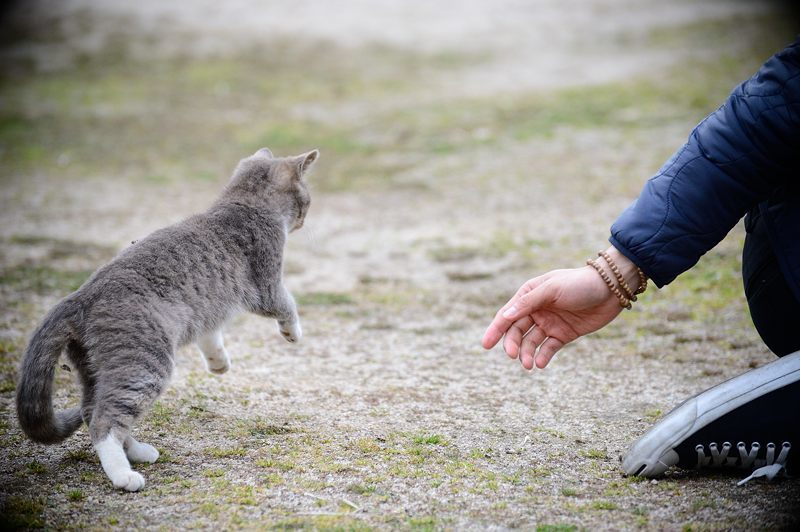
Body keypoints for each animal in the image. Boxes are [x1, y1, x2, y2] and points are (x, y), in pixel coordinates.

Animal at [15, 148, 316, 492]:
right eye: (306, 200)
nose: (305, 218)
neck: (242, 203)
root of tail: (79, 297)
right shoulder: (265, 282)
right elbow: (285, 304)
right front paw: (293, 331)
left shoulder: (206, 307)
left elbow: (210, 334)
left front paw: (219, 362)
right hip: (145, 363)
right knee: (105, 421)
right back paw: (123, 475)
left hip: (94, 367)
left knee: (92, 409)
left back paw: (138, 451)